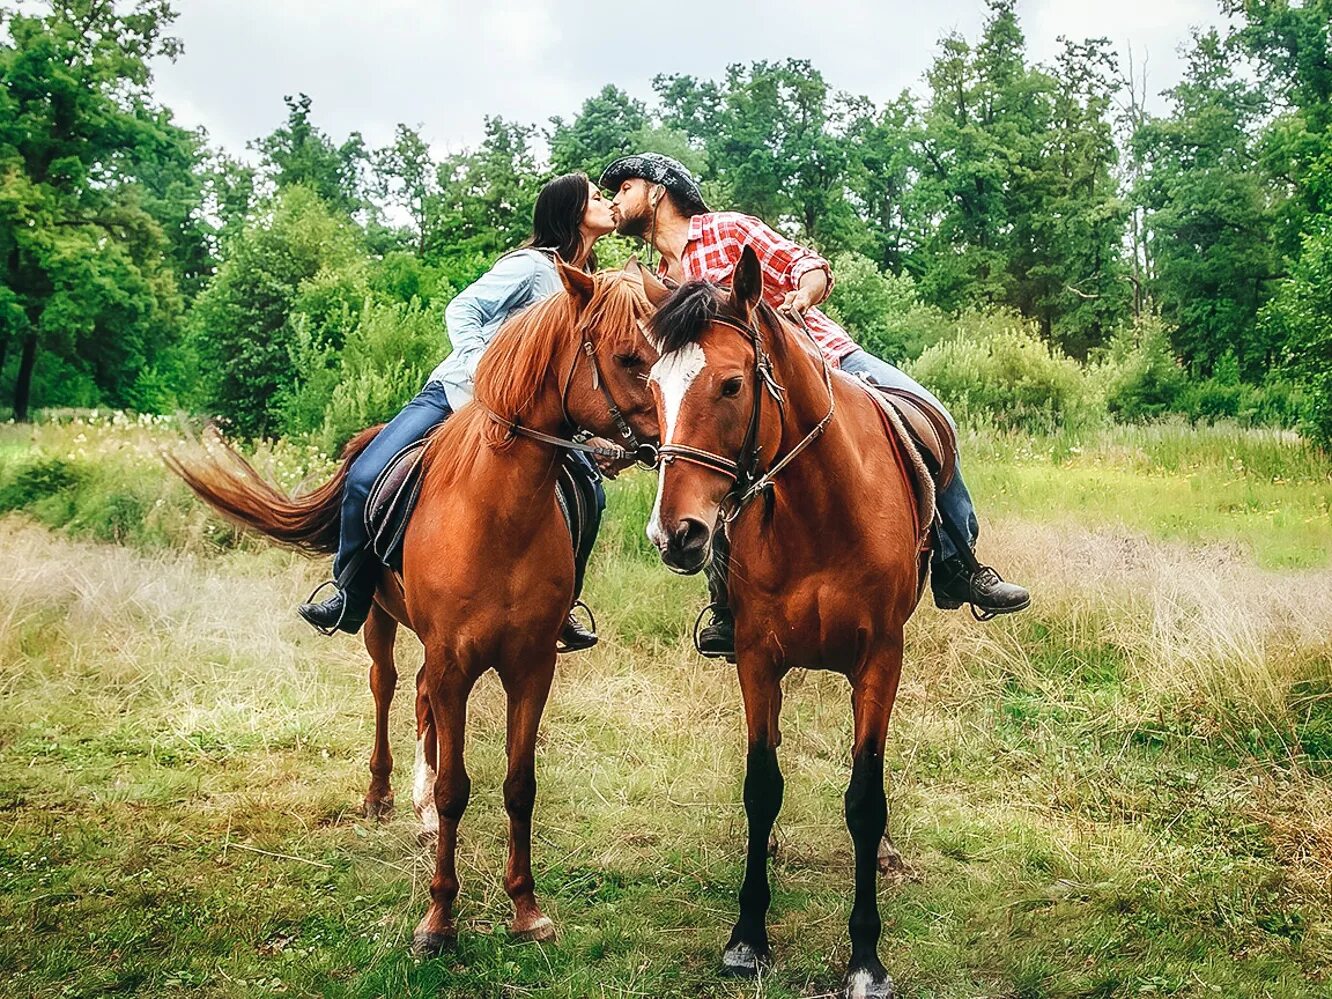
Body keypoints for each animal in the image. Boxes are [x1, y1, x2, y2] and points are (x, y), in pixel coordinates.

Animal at [169, 258, 666, 953]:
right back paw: (380, 794)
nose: (679, 439)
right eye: (626, 356)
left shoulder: (530, 666)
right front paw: (438, 919)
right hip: (379, 623)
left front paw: (525, 908)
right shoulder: (455, 661)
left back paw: (419, 802)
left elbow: (519, 786)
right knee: (387, 687)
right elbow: (459, 787)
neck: (498, 513)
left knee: (421, 699)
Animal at [644, 246, 927, 996]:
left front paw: (866, 958)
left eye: (731, 384)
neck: (820, 509)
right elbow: (761, 787)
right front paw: (747, 936)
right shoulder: (757, 657)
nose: (674, 535)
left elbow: (865, 798)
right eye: (652, 386)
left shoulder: (880, 661)